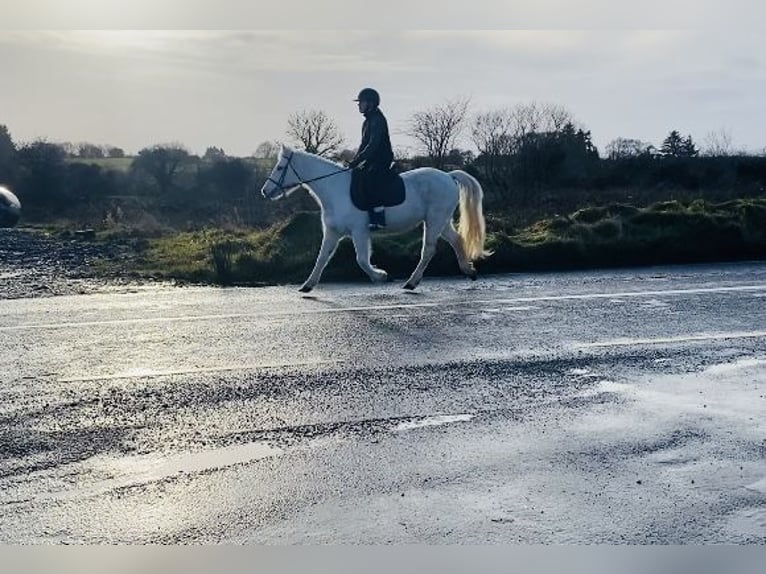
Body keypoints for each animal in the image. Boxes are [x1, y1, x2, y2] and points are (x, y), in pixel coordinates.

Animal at [262, 146, 492, 292]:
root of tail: (448, 176)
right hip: (441, 221)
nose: (265, 191)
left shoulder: (359, 231)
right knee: (456, 240)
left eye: (280, 167)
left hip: (435, 220)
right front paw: (307, 285)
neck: (335, 189)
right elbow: (321, 258)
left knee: (428, 250)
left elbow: (362, 260)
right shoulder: (332, 232)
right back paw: (469, 271)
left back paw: (411, 283)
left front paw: (381, 276)